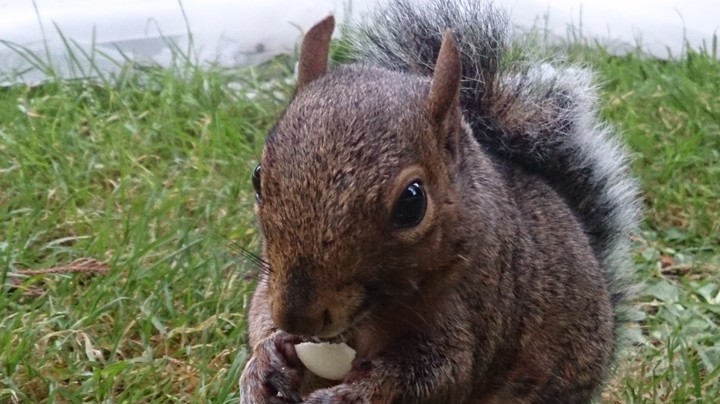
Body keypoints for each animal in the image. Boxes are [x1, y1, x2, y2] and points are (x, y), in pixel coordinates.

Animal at [238, 0, 641, 403]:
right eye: (258, 176)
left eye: (411, 203)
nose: (297, 318)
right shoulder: (270, 282)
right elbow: (259, 316)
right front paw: (265, 359)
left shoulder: (476, 310)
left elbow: (438, 374)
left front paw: (350, 395)